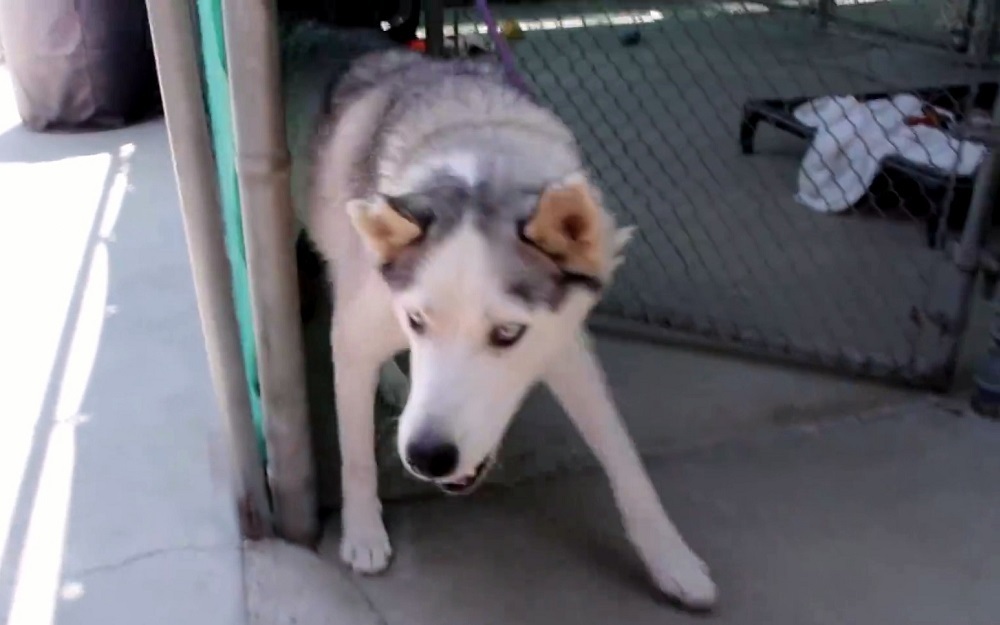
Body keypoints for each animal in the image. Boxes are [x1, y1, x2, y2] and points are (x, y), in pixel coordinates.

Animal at [284, 24, 720, 608]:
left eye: (508, 333)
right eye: (417, 321)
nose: (427, 456)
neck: (482, 164)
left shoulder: (565, 346)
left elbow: (623, 454)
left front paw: (671, 559)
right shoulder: (358, 335)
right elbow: (355, 453)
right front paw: (363, 533)